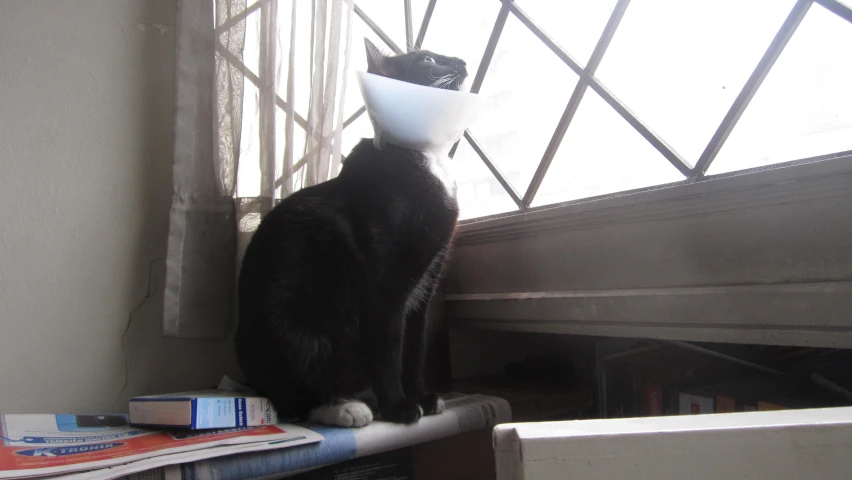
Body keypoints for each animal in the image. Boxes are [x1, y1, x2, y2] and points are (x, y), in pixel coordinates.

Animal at [235, 39, 466, 426]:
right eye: (428, 60)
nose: (463, 61)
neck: (422, 158)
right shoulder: (384, 286)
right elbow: (388, 349)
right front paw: (398, 407)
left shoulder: (425, 286)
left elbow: (414, 348)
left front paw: (421, 395)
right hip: (291, 331)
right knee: (293, 399)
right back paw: (345, 407)